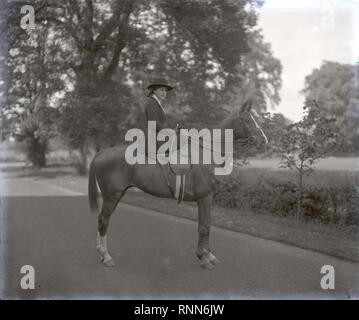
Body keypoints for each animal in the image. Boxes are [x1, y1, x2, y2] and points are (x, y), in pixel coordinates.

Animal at [88, 100, 268, 270]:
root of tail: (103, 152)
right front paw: (203, 257)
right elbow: (204, 227)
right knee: (104, 220)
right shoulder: (205, 198)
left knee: (103, 220)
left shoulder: (206, 199)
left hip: (117, 195)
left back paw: (101, 254)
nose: (264, 141)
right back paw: (106, 256)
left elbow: (206, 225)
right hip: (112, 196)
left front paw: (208, 255)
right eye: (246, 120)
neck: (208, 153)